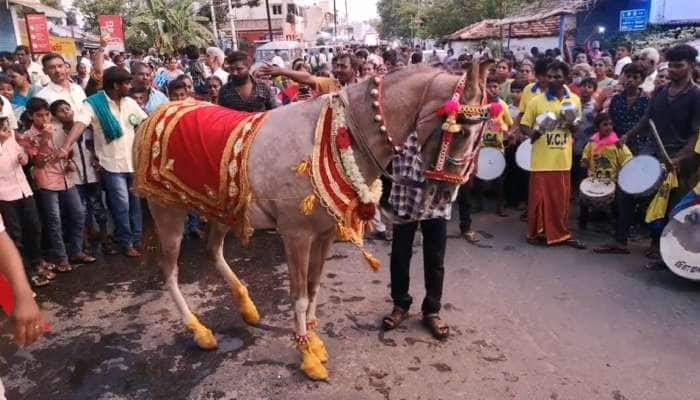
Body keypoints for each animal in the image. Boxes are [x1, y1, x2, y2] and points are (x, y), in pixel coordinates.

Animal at [133, 63, 492, 382]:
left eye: (481, 136)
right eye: (460, 129)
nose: (446, 194)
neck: (338, 135)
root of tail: (156, 114)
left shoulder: (324, 234)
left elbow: (314, 285)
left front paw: (315, 341)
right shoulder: (296, 236)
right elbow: (299, 295)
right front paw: (307, 356)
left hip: (222, 207)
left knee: (212, 251)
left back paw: (246, 306)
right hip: (167, 210)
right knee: (170, 272)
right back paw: (199, 330)